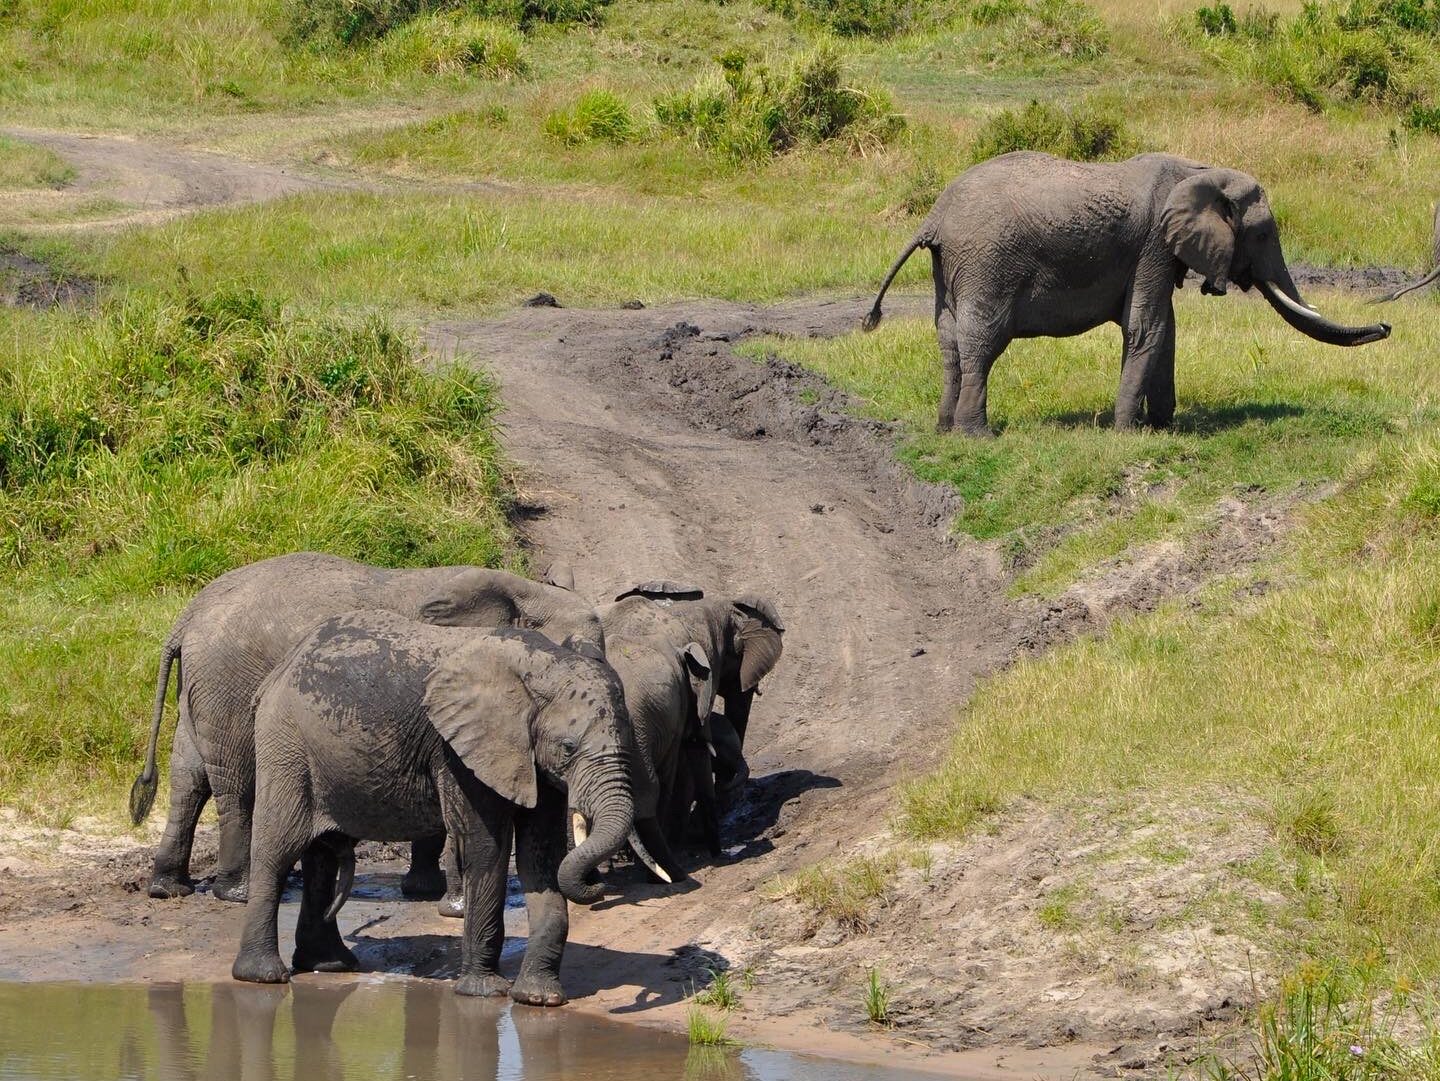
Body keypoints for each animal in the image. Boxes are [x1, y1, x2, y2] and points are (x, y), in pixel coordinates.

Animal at [123, 549, 596, 903]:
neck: (524, 590)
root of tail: (188, 615)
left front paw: (423, 891)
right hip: (229, 681)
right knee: (235, 779)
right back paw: (237, 893)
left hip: (203, 681)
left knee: (190, 773)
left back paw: (169, 889)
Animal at [234, 613, 653, 1013]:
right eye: (568, 747)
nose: (599, 886)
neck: (543, 666)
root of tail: (280, 669)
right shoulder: (458, 753)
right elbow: (487, 849)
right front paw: (484, 993)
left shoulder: (533, 762)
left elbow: (542, 857)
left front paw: (540, 999)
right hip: (285, 744)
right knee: (278, 849)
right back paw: (263, 976)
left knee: (321, 857)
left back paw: (330, 965)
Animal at [858, 148, 1388, 434]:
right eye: (1261, 234)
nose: (1385, 325)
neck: (1198, 170)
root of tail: (934, 216)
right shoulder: (1154, 243)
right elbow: (1146, 327)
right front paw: (1129, 432)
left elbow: (1164, 328)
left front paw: (1164, 427)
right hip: (988, 263)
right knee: (982, 343)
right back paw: (978, 437)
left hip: (951, 268)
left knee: (949, 343)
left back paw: (945, 431)